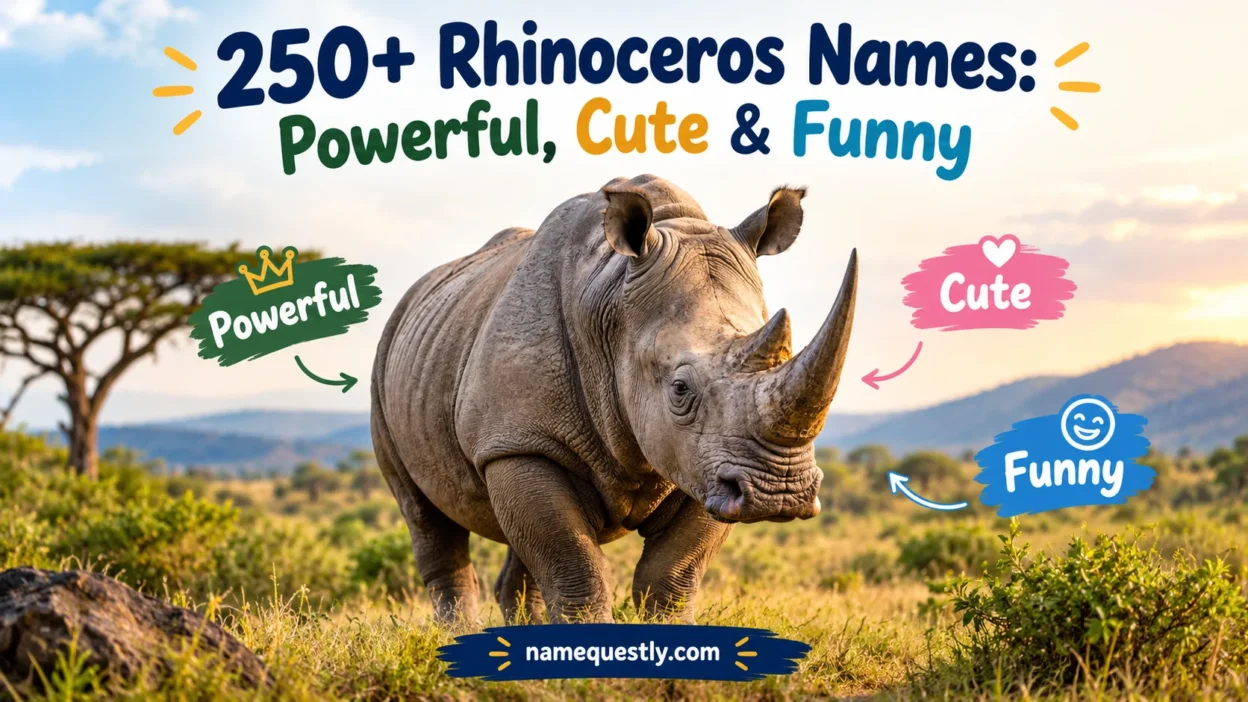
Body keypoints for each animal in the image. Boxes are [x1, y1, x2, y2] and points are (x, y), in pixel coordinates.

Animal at [371, 175, 857, 624]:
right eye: (680, 389)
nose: (781, 492)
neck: (610, 304)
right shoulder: (521, 441)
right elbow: (573, 562)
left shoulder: (708, 463)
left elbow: (673, 570)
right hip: (389, 357)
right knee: (425, 516)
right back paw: (455, 633)